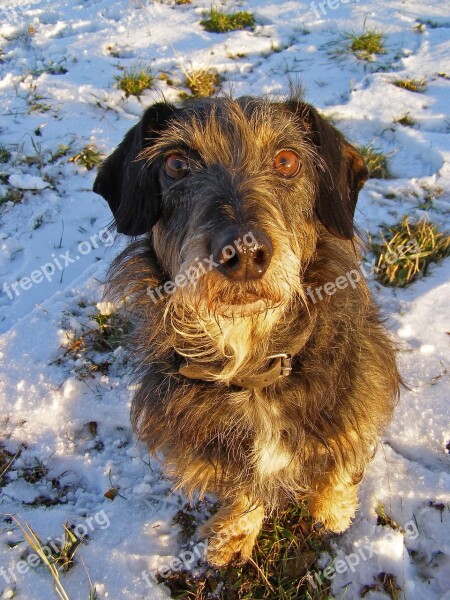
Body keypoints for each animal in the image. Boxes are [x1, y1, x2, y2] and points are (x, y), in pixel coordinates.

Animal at [93, 95, 400, 568]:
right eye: (176, 164)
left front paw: (332, 508)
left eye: (288, 160)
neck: (253, 361)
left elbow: (343, 454)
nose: (244, 253)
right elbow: (242, 487)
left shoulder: (361, 389)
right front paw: (236, 531)